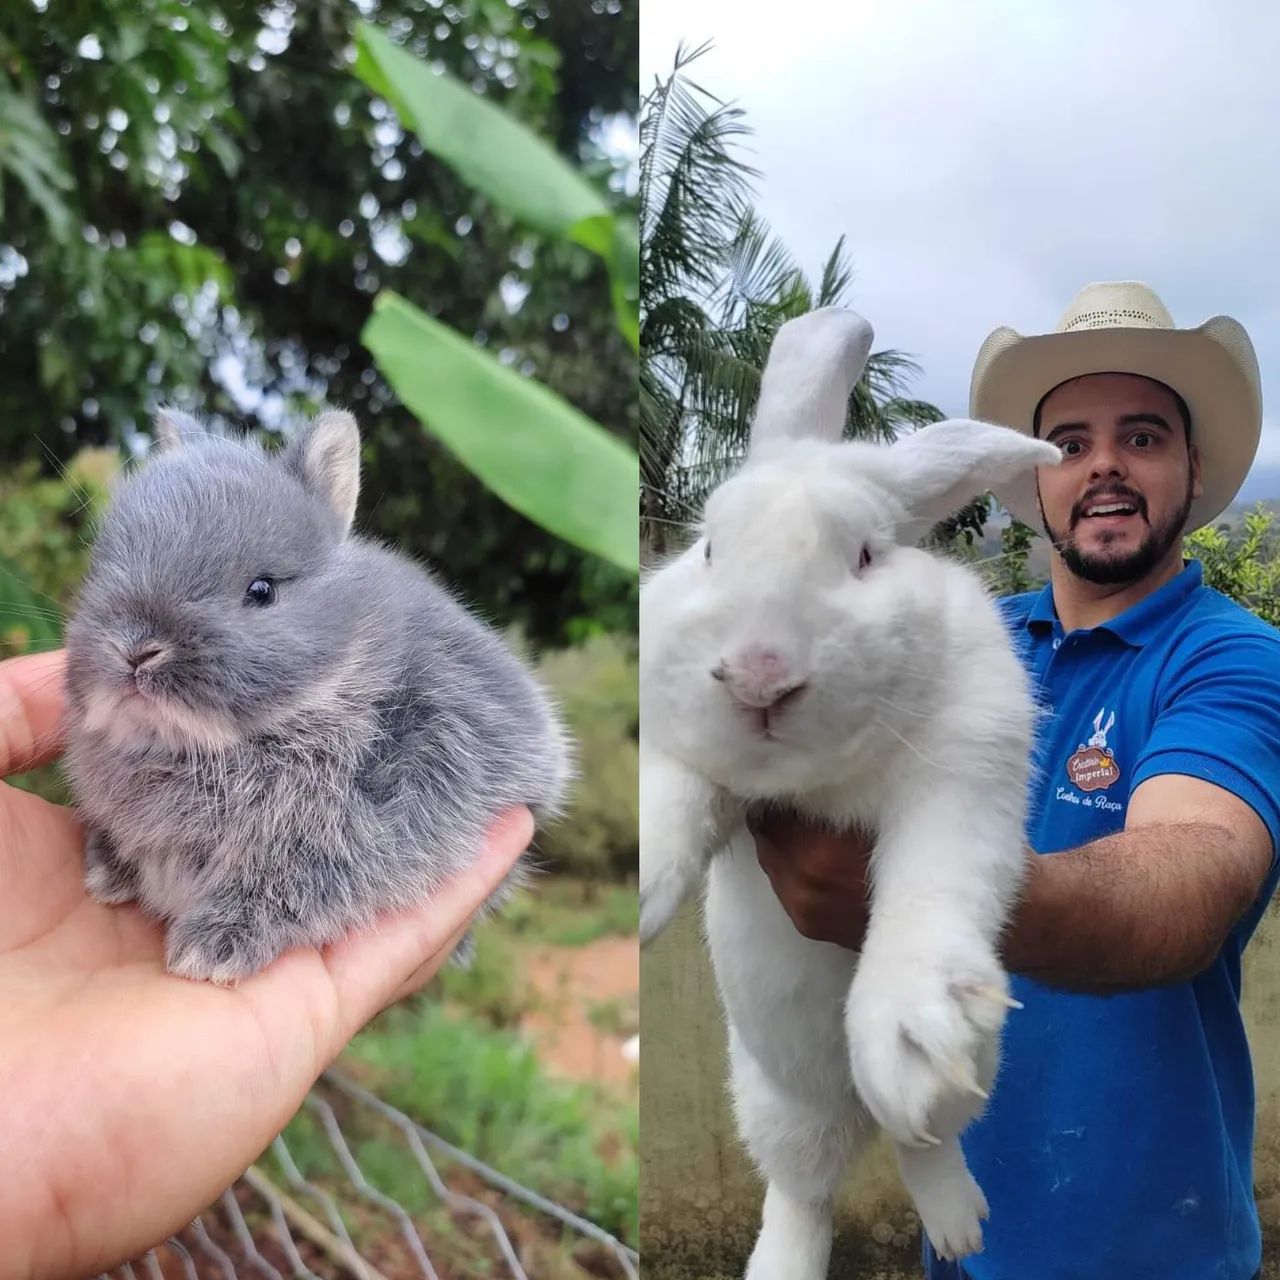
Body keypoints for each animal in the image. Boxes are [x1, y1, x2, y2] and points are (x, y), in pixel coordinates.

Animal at [62, 407, 570, 984]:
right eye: (100, 566)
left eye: (262, 590)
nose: (134, 648)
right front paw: (107, 871)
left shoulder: (374, 821)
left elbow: (295, 884)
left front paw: (211, 950)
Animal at [638, 307, 1061, 1275]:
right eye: (710, 547)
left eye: (866, 554)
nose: (757, 676)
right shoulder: (683, 750)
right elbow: (675, 793)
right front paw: (639, 889)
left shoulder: (967, 765)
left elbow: (935, 878)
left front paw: (910, 1025)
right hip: (774, 1099)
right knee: (804, 1191)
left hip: (968, 1068)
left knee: (921, 1138)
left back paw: (956, 1220)